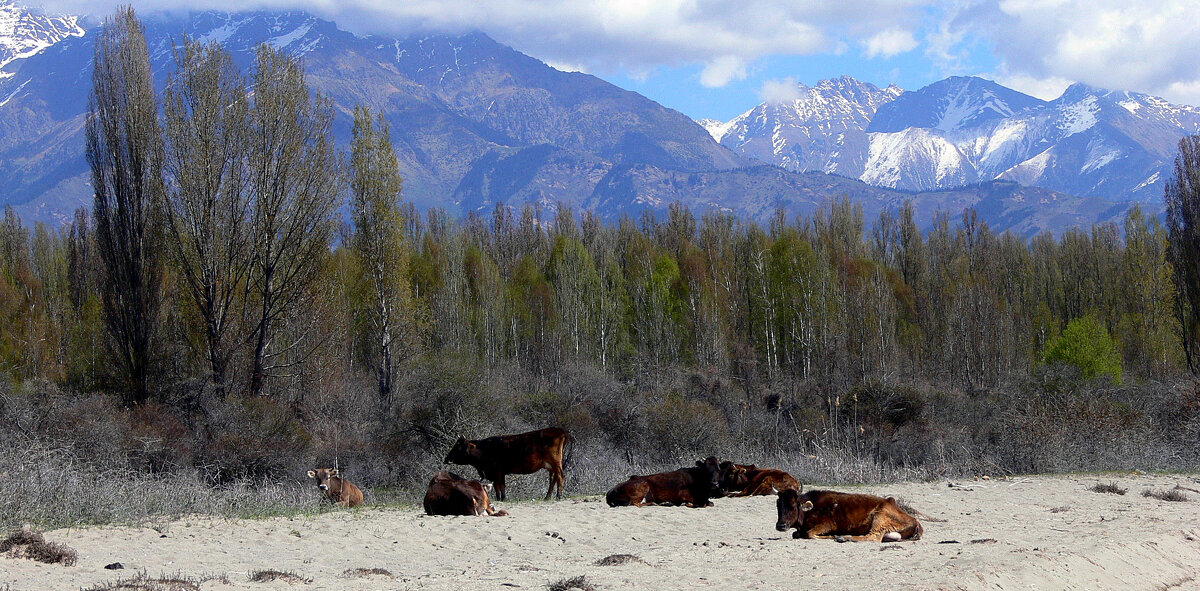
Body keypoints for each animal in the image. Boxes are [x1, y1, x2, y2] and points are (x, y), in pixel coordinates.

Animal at [772, 487, 921, 542]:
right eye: (778, 504)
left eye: (793, 505)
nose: (781, 526)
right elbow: (796, 534)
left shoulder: (826, 525)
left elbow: (809, 534)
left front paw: (833, 536)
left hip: (880, 517)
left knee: (872, 537)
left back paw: (844, 537)